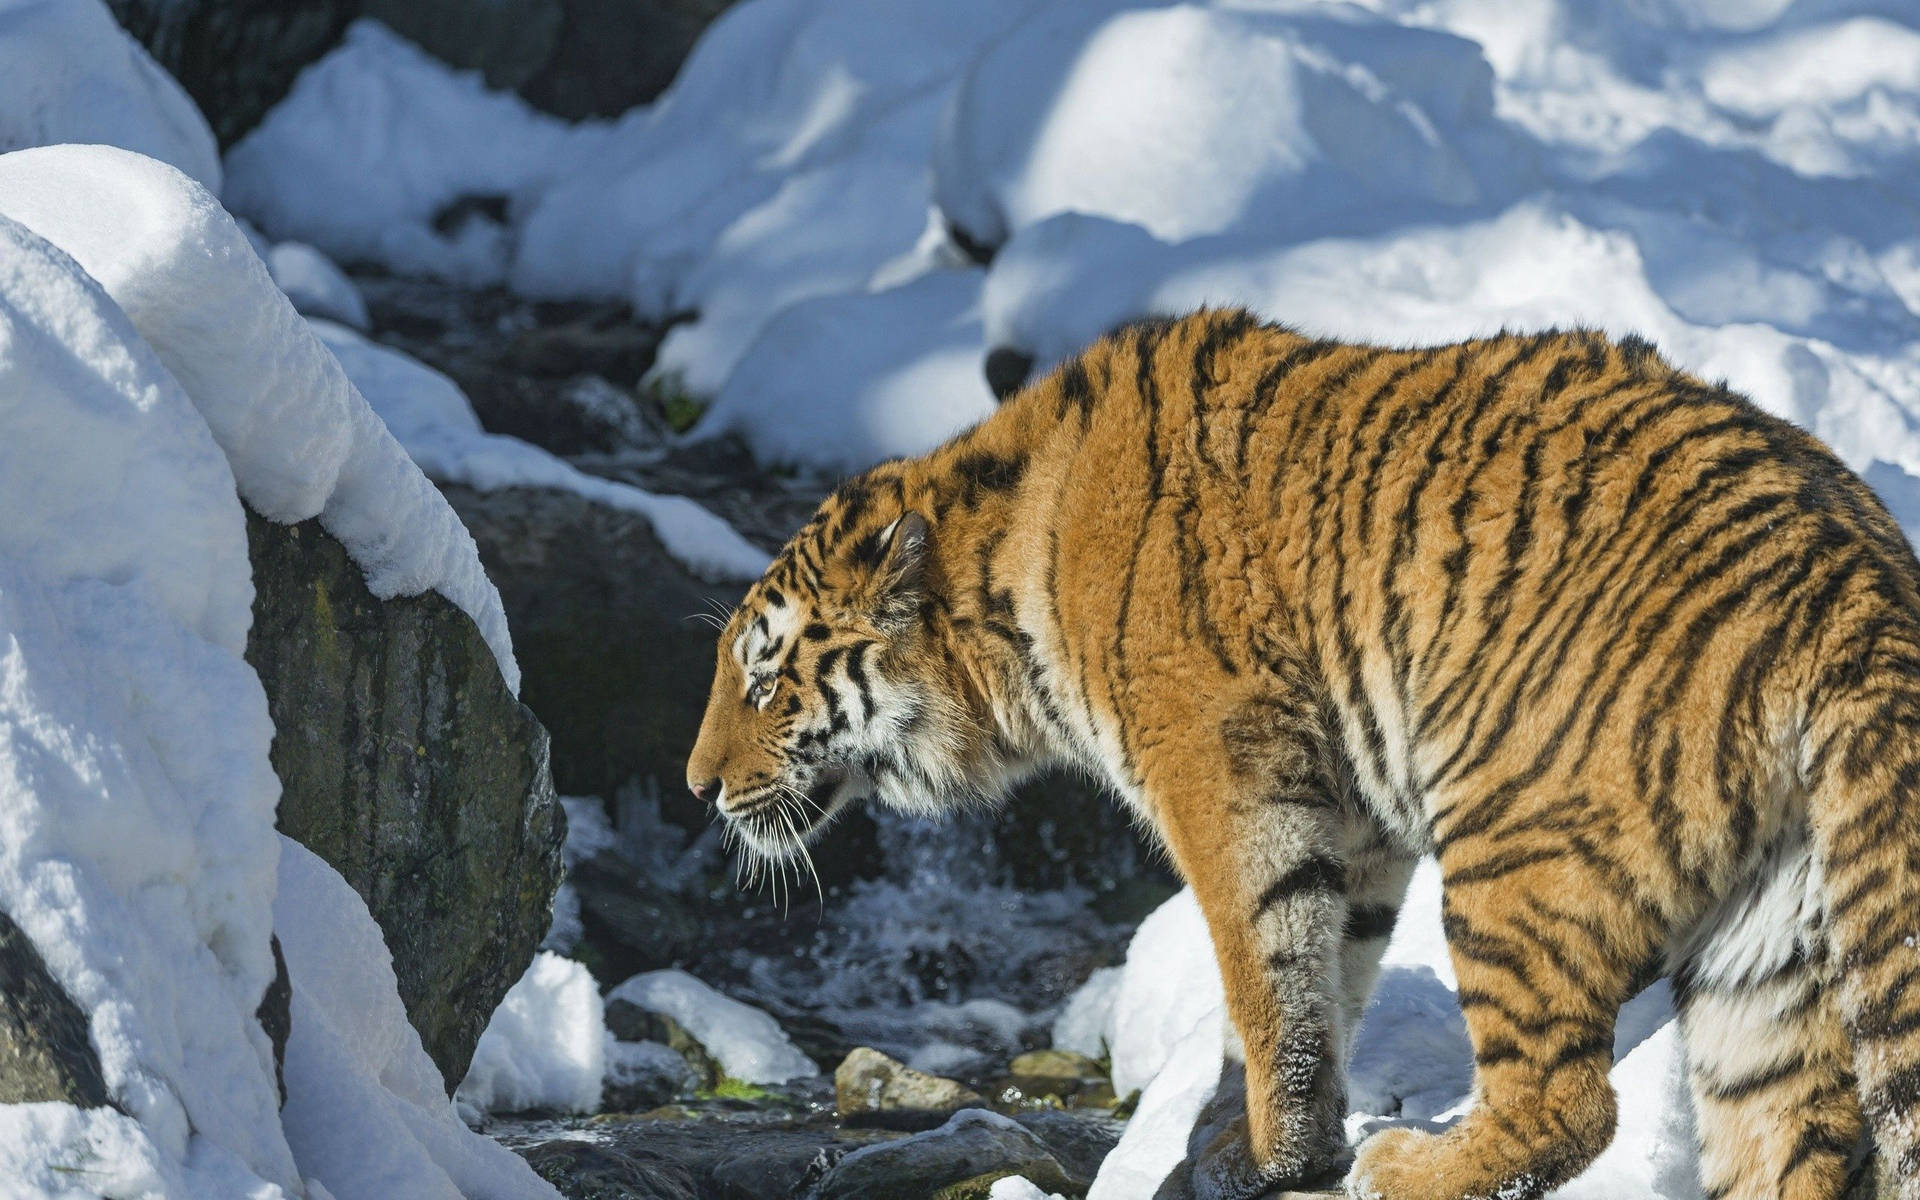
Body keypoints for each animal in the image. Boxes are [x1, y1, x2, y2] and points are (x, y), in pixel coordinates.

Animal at [683, 311, 1912, 1198]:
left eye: (762, 677)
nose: (699, 785)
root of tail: (1858, 579)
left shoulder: (1221, 776)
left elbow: (1263, 966)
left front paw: (1268, 1152)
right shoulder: (1350, 812)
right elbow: (1334, 967)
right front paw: (1287, 1146)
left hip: (1521, 852)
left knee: (1568, 1105)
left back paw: (1410, 1171)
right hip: (1770, 941)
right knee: (1792, 1130)